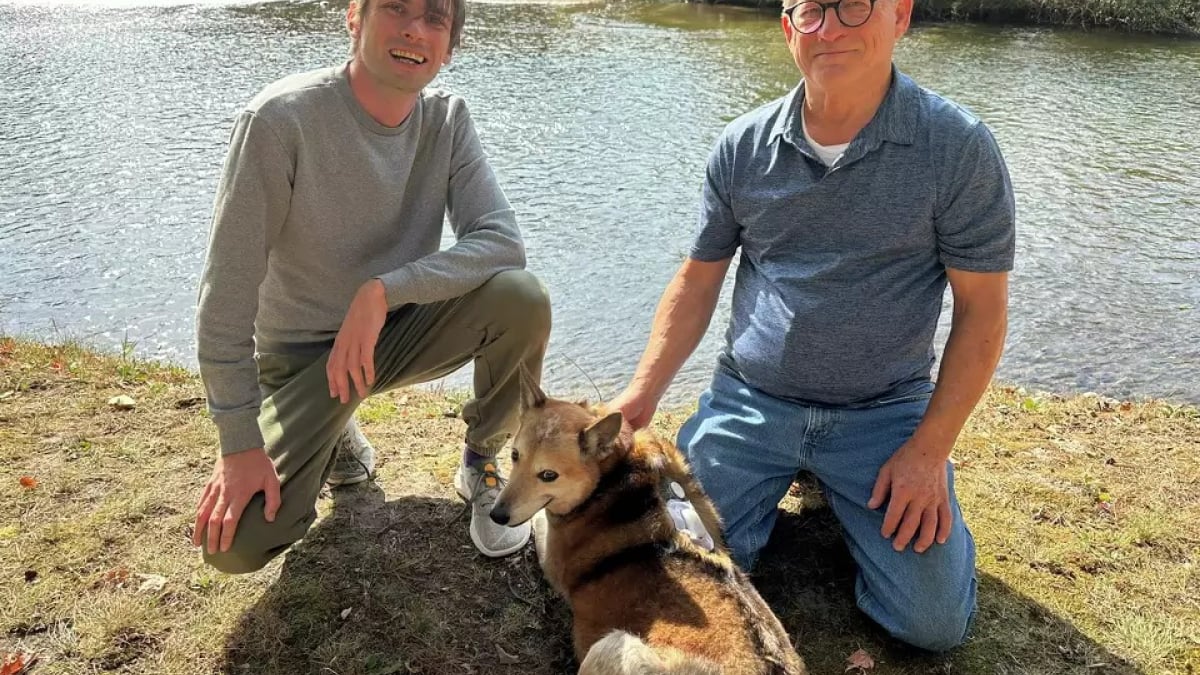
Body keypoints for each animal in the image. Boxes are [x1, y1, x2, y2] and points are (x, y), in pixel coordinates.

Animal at [487, 369, 806, 667]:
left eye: (548, 475)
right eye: (514, 455)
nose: (496, 515)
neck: (614, 470)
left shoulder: (550, 555)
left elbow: (538, 520)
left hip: (614, 645)